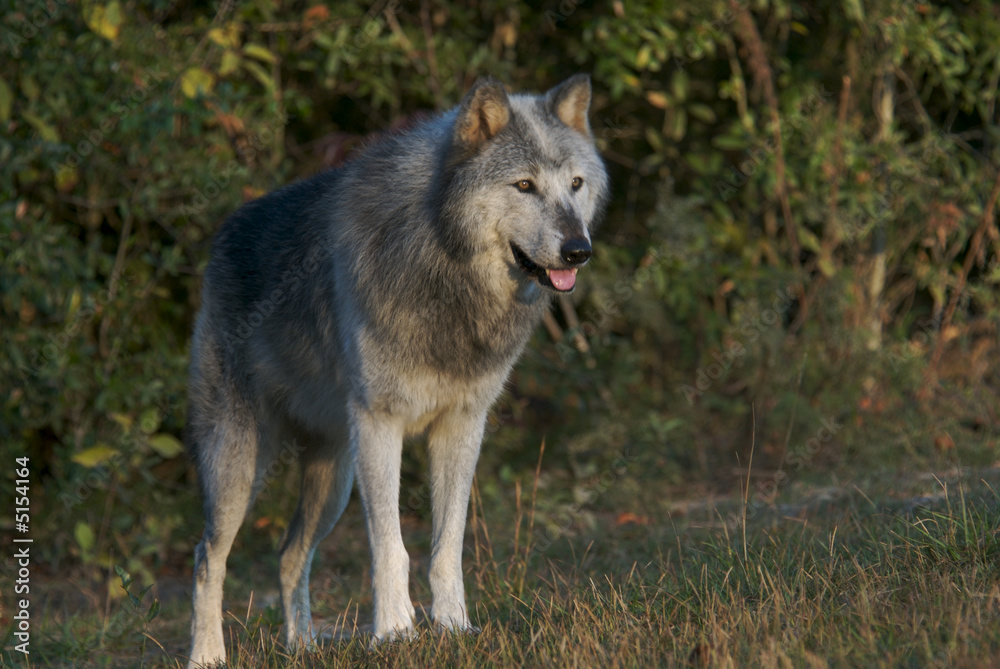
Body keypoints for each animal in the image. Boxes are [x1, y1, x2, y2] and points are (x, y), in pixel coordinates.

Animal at [185, 74, 609, 667]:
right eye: (524, 185)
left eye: (575, 184)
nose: (578, 250)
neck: (442, 267)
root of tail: (226, 230)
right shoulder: (380, 424)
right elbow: (391, 546)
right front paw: (395, 632)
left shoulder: (462, 425)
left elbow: (446, 545)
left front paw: (454, 627)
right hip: (242, 467)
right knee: (208, 557)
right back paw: (208, 655)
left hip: (334, 479)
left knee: (291, 555)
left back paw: (304, 648)